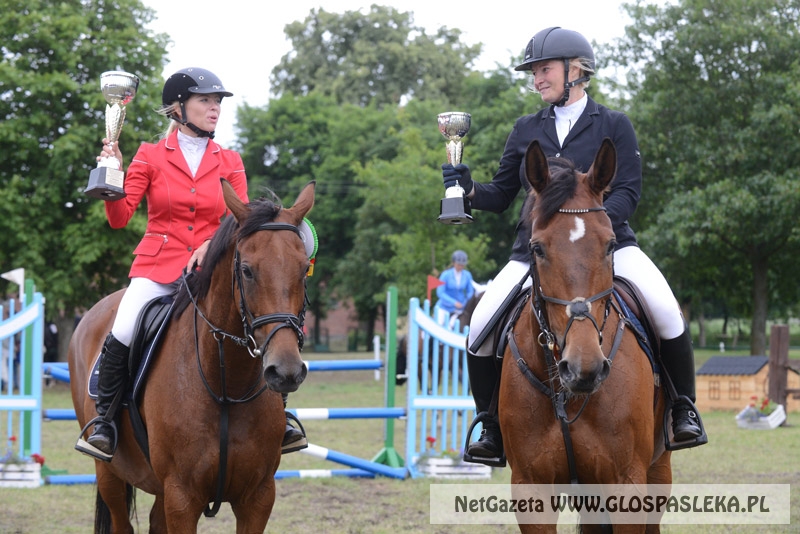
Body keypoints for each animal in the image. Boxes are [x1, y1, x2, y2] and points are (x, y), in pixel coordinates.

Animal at [69, 180, 315, 533]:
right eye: (246, 270)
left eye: (303, 269)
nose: (285, 372)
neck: (227, 384)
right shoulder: (182, 497)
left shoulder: (258, 497)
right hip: (110, 474)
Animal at [498, 139, 671, 532]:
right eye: (536, 248)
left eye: (610, 245)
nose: (583, 368)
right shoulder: (531, 489)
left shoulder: (627, 485)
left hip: (657, 471)